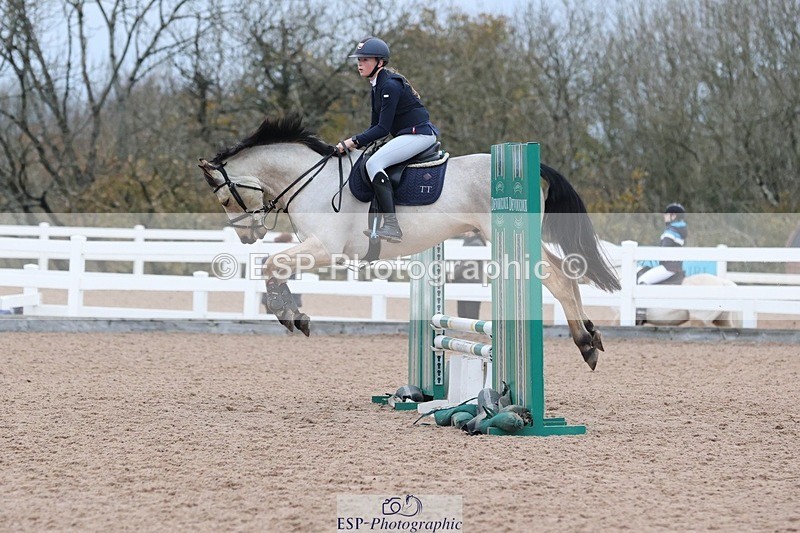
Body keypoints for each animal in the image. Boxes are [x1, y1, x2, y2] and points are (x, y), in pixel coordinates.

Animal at [198, 115, 621, 370]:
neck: (311, 179)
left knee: (560, 280)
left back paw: (584, 343)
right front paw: (293, 314)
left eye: (225, 200)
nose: (247, 235)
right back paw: (591, 333)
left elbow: (271, 265)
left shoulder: (326, 249)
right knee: (568, 273)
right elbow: (275, 269)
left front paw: (289, 316)